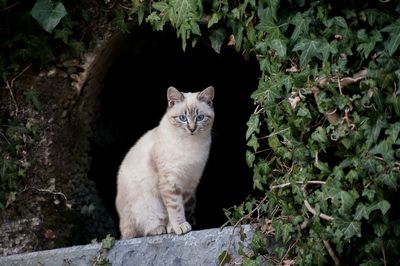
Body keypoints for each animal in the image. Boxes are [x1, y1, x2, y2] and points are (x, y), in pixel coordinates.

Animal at [115, 85, 216, 239]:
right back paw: (157, 229)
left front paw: (173, 228)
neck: (191, 145)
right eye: (182, 118)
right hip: (145, 206)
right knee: (139, 230)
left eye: (200, 117)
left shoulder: (189, 183)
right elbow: (175, 208)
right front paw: (180, 227)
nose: (192, 128)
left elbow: (176, 209)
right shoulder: (170, 182)